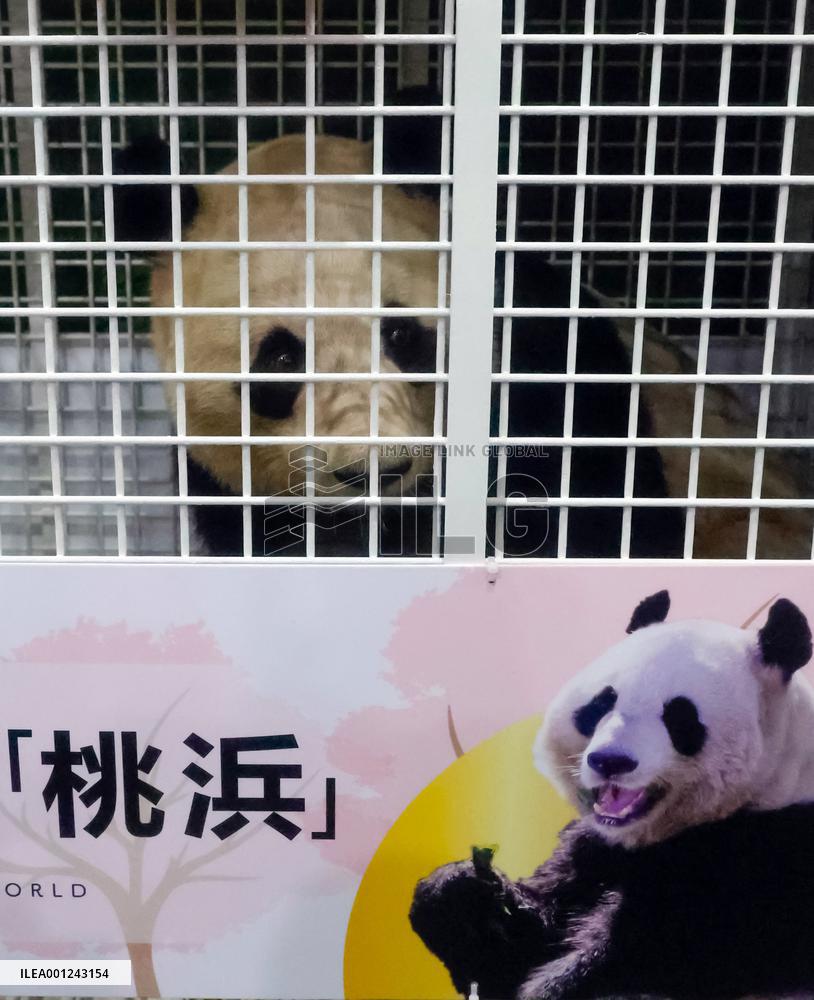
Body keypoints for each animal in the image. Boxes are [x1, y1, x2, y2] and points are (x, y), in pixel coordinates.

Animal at [409, 591, 814, 999]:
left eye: (680, 716)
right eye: (602, 702)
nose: (609, 760)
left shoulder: (769, 866)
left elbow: (647, 959)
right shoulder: (595, 848)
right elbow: (529, 939)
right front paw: (462, 892)